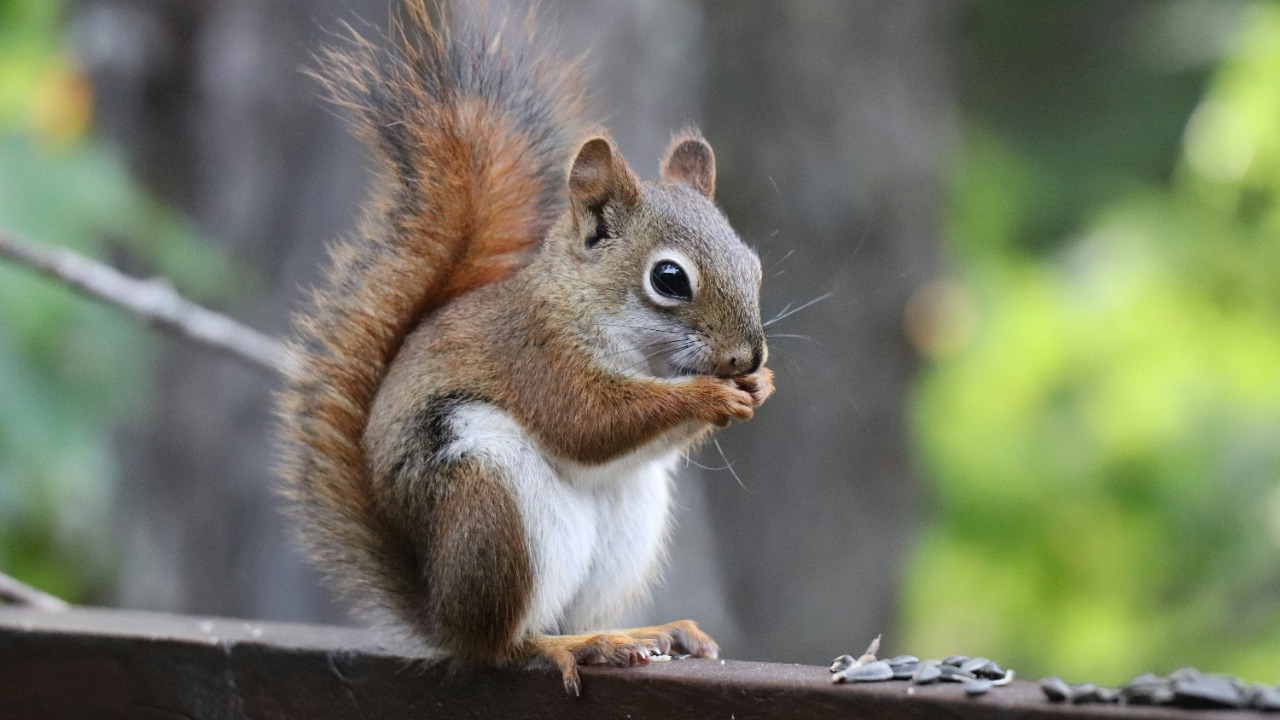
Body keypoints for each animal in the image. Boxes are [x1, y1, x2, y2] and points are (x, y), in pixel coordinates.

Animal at [277, 1, 773, 696]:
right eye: (670, 279)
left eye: (754, 266)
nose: (747, 359)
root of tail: (439, 614)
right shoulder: (535, 355)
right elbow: (587, 422)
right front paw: (710, 394)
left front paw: (758, 388)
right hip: (492, 501)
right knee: (502, 645)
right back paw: (572, 645)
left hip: (630, 521)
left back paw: (645, 633)